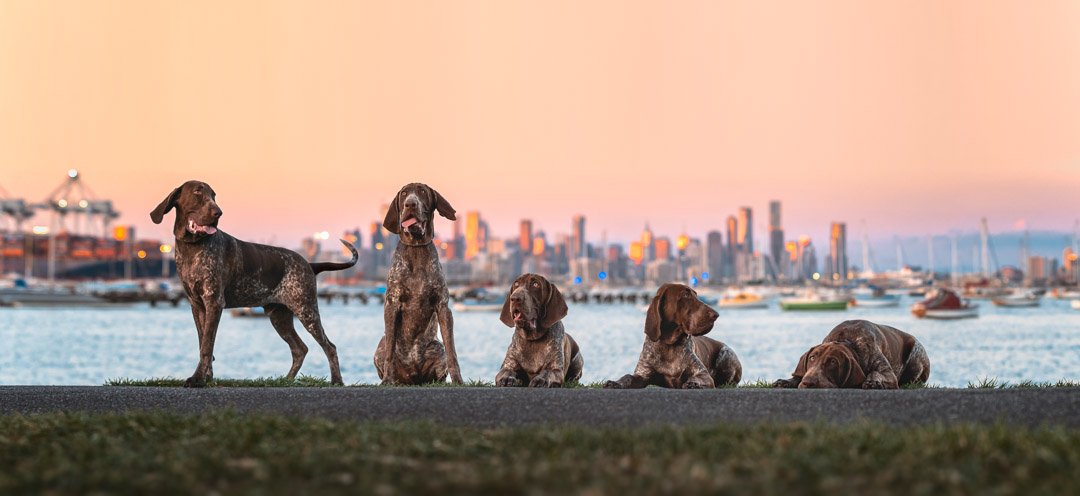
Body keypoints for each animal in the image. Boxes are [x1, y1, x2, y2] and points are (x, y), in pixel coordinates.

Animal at [373, 181, 462, 384]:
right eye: (404, 193)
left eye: (421, 191)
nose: (410, 204)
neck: (416, 247)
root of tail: (412, 377)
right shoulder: (392, 304)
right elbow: (390, 351)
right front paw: (387, 380)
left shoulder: (443, 307)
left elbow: (452, 350)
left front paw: (458, 381)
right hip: (379, 347)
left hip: (436, 347)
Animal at [600, 283, 743, 389]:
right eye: (686, 295)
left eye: (696, 295)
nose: (716, 314)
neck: (669, 345)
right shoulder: (642, 375)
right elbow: (627, 377)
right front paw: (615, 383)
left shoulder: (703, 374)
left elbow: (697, 377)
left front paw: (693, 383)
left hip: (726, 353)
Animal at [773, 319, 933, 391]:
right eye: (812, 358)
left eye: (833, 362)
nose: (808, 382)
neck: (847, 340)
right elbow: (798, 376)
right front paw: (788, 381)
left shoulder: (888, 373)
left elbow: (875, 372)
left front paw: (873, 381)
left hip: (916, 357)